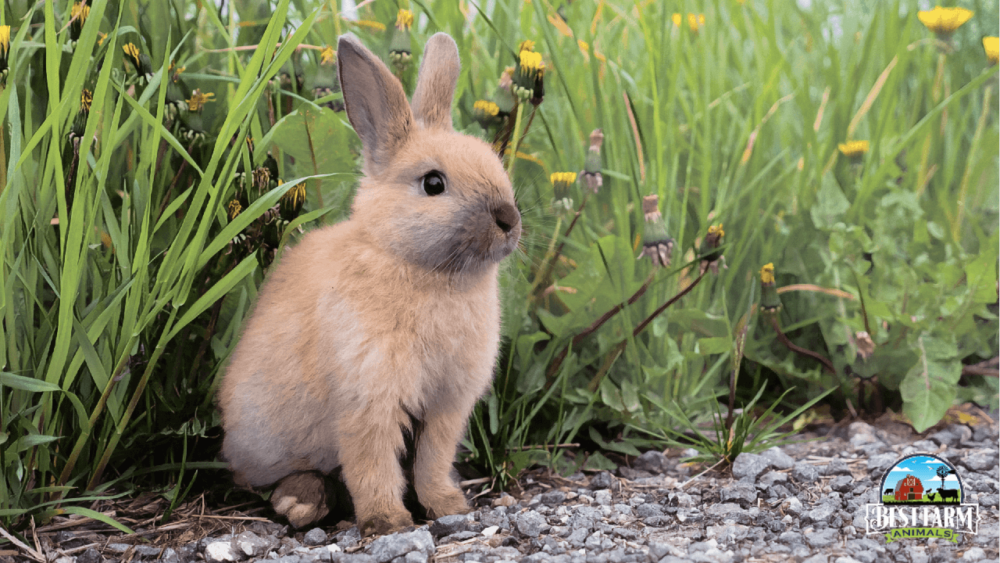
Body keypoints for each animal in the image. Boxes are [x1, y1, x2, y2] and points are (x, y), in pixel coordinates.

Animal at [219, 32, 524, 536]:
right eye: (433, 183)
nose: (509, 220)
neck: (421, 268)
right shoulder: (367, 400)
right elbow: (372, 464)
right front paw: (388, 522)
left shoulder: (445, 406)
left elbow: (431, 462)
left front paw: (449, 507)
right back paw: (300, 502)